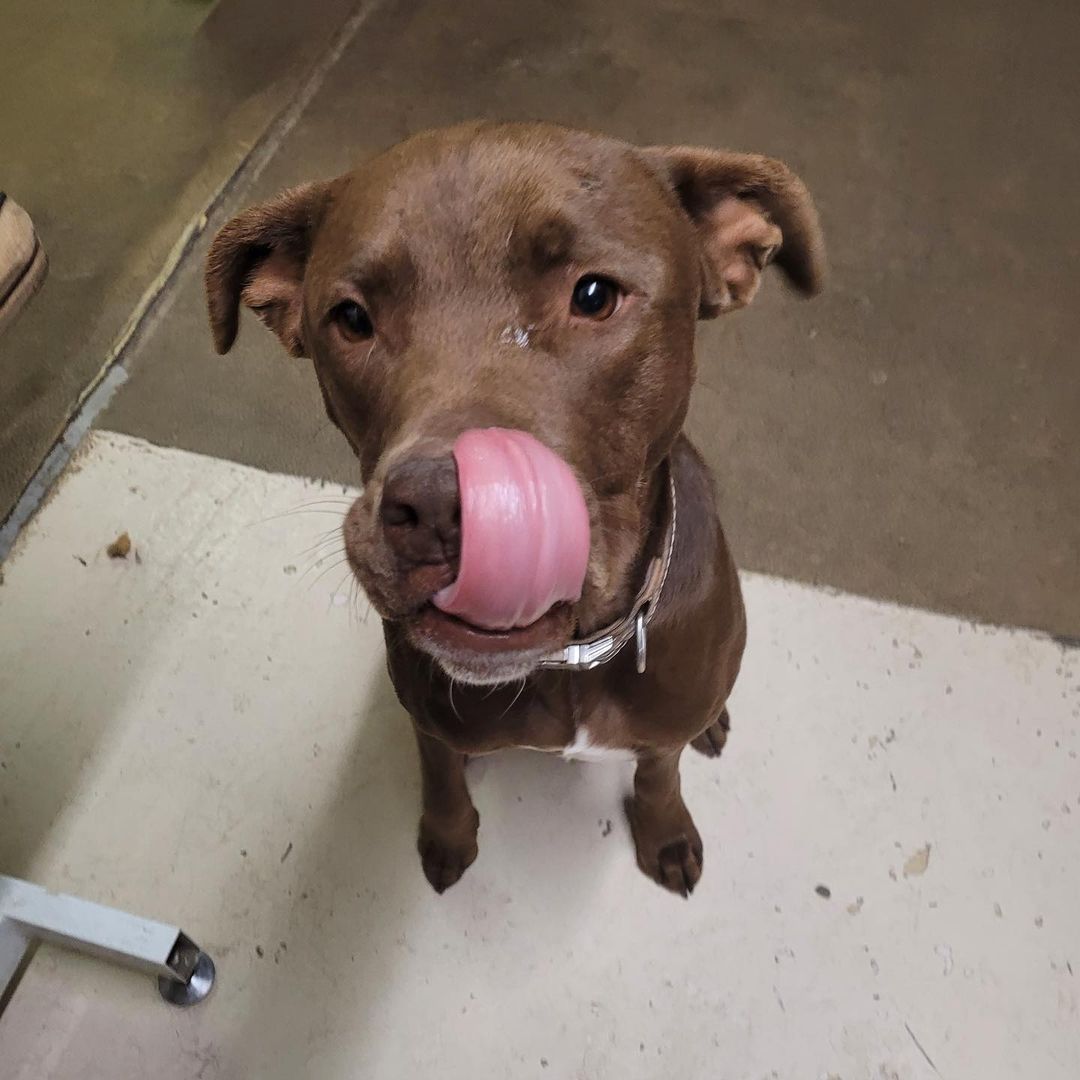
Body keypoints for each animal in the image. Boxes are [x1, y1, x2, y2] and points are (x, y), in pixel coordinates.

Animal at [206, 120, 820, 894]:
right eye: (350, 318)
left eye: (594, 295)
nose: (442, 508)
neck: (573, 660)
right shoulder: (431, 721)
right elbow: (439, 772)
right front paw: (447, 833)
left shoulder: (659, 727)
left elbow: (659, 771)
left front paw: (666, 830)